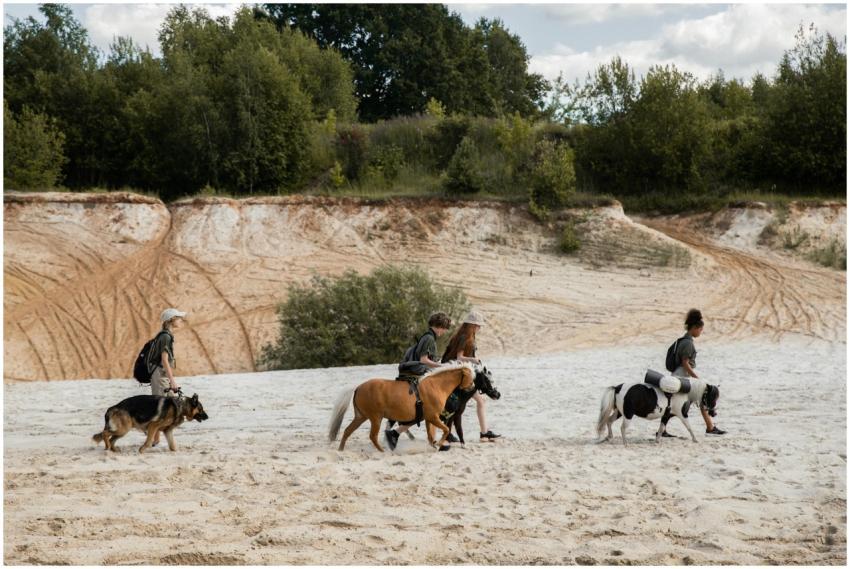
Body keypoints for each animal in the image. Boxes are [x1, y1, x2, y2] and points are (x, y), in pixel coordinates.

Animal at [328, 363, 476, 452]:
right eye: (471, 377)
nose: (473, 387)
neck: (436, 385)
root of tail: (358, 387)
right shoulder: (433, 417)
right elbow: (446, 430)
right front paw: (439, 444)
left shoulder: (428, 418)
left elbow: (430, 436)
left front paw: (435, 445)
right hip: (376, 418)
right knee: (372, 436)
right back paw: (382, 450)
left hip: (361, 417)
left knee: (347, 431)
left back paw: (341, 450)